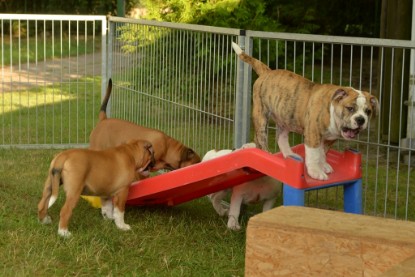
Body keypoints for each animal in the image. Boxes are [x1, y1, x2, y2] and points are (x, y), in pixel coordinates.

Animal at [232, 41, 378, 179]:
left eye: (368, 112)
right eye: (350, 108)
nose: (361, 119)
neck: (331, 110)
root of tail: (267, 71)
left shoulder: (328, 140)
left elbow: (322, 153)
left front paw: (323, 165)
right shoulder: (313, 133)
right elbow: (314, 154)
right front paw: (316, 172)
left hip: (285, 118)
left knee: (281, 138)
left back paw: (289, 155)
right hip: (261, 114)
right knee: (260, 137)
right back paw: (266, 153)